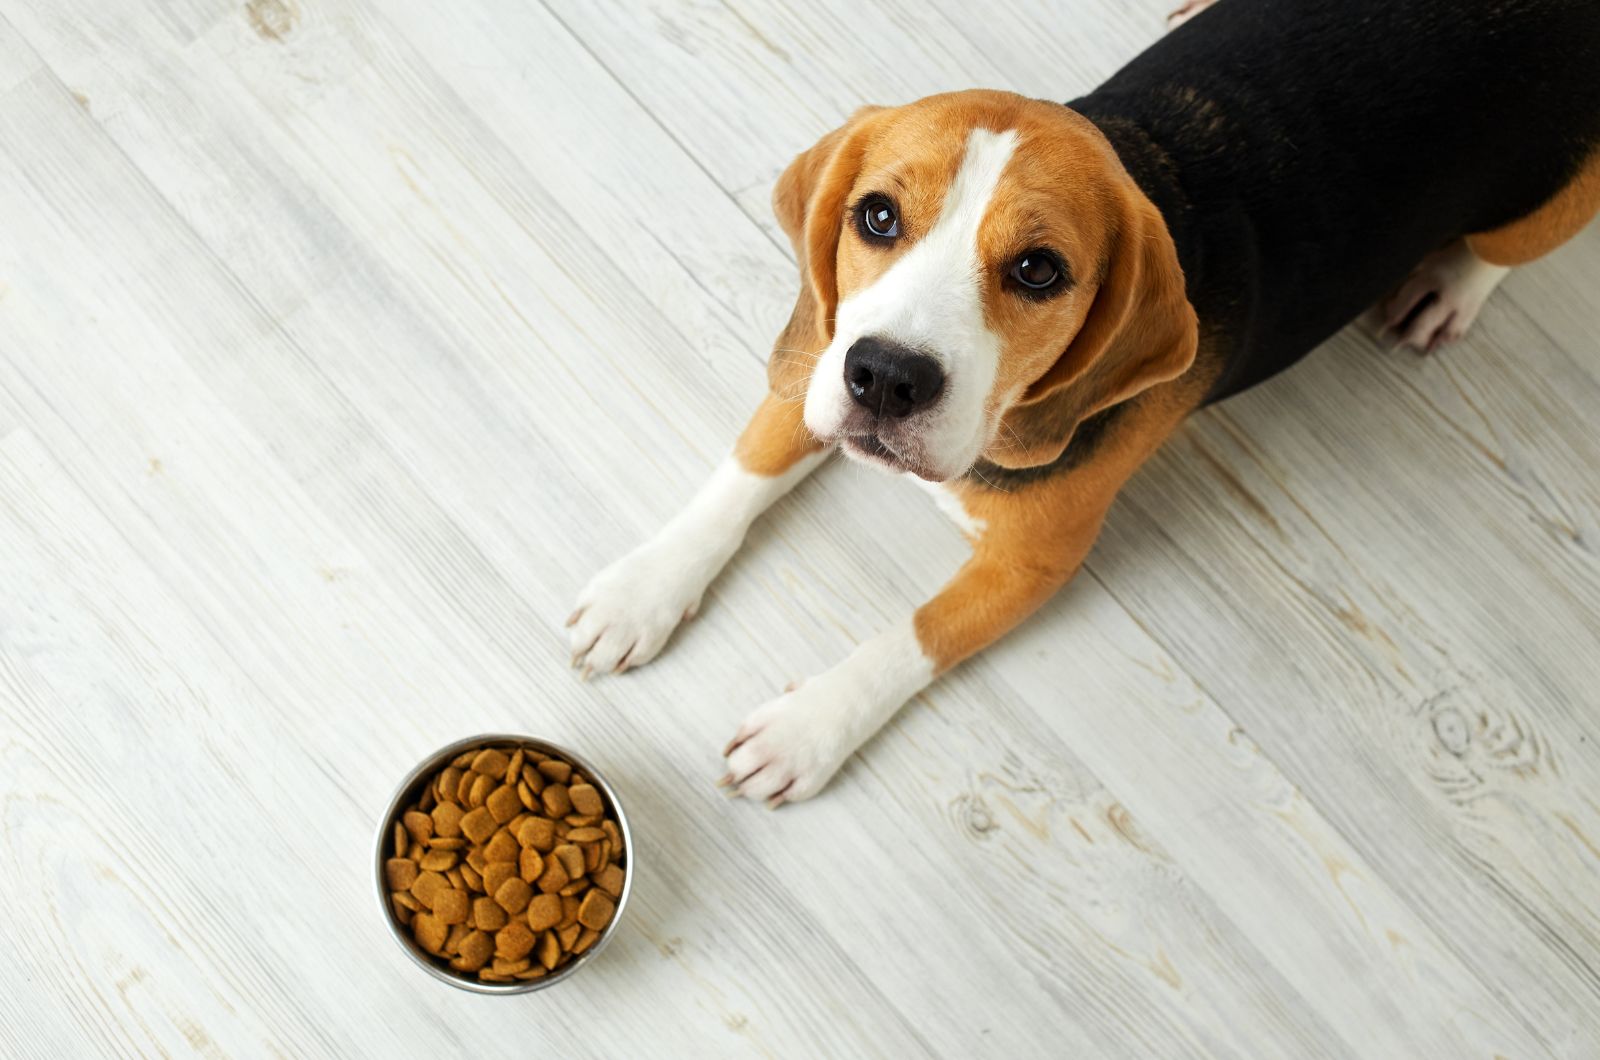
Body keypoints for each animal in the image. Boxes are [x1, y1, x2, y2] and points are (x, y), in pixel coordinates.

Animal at [569, 0, 1593, 807]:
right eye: (877, 217)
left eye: (1038, 270)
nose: (889, 378)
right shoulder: (818, 361)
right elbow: (741, 477)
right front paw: (643, 589)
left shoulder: (1036, 562)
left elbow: (913, 636)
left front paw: (808, 727)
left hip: (1549, 208)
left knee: (1501, 254)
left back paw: (1452, 288)